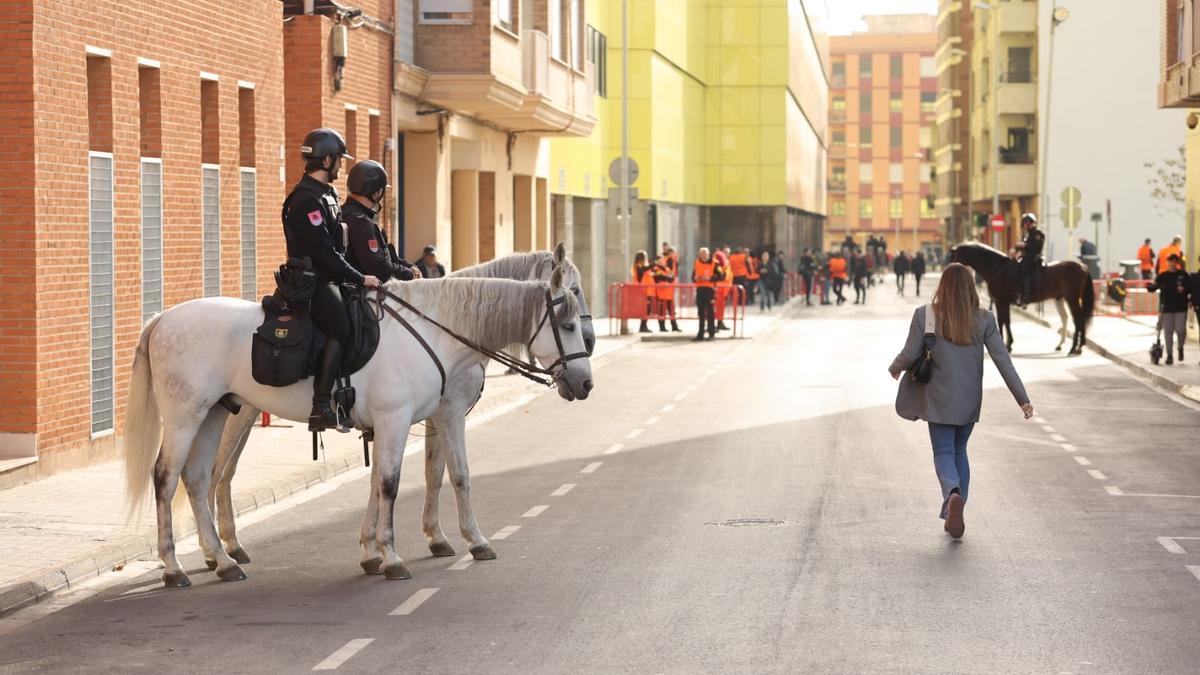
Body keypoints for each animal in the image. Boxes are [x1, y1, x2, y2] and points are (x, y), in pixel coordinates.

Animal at [124, 267, 592, 583]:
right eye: (568, 324)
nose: (586, 383)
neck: (434, 332)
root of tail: (162, 318)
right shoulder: (403, 419)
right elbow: (391, 484)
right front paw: (392, 557)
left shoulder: (415, 421)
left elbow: (445, 475)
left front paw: (465, 542)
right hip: (186, 416)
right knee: (168, 477)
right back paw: (174, 567)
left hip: (215, 413)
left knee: (198, 479)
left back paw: (221, 560)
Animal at [945, 242, 1099, 357]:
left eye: (953, 256)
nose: (947, 271)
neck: (998, 269)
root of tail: (1083, 266)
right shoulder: (1000, 302)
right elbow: (1003, 321)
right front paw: (1008, 344)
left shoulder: (1002, 301)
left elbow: (1004, 321)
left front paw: (1007, 344)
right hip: (1060, 299)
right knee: (1068, 318)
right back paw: (1071, 346)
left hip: (1072, 299)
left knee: (1078, 319)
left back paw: (1074, 348)